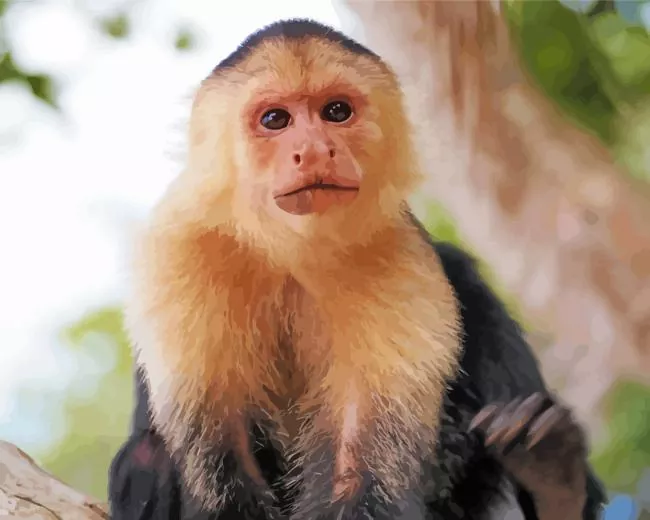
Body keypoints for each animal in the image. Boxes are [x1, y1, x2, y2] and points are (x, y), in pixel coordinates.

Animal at [108, 18, 607, 520]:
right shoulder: (181, 249)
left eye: (336, 111)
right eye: (275, 120)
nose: (314, 150)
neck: (289, 248)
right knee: (147, 455)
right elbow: (221, 464)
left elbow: (361, 468)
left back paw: (554, 479)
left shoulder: (396, 252)